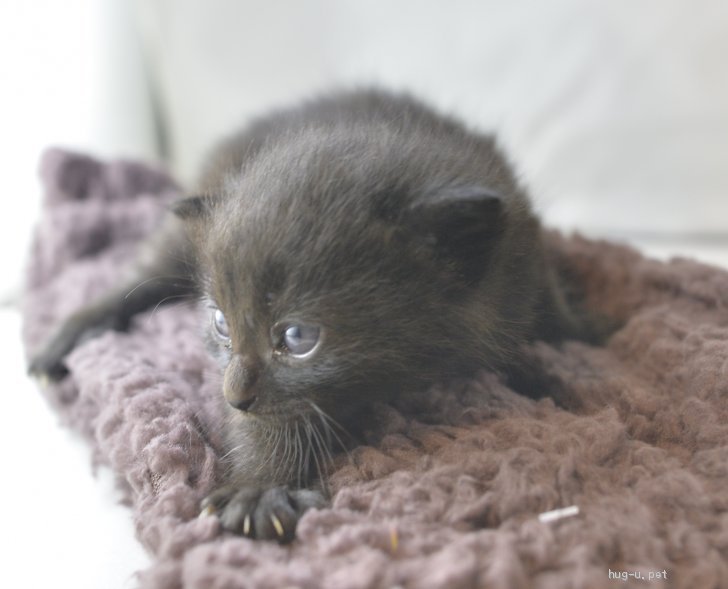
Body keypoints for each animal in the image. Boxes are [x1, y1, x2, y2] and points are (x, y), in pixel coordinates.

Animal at [28, 90, 588, 544]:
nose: (233, 395)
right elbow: (269, 425)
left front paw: (580, 334)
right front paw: (260, 487)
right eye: (222, 324)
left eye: (297, 337)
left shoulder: (521, 244)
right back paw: (70, 335)